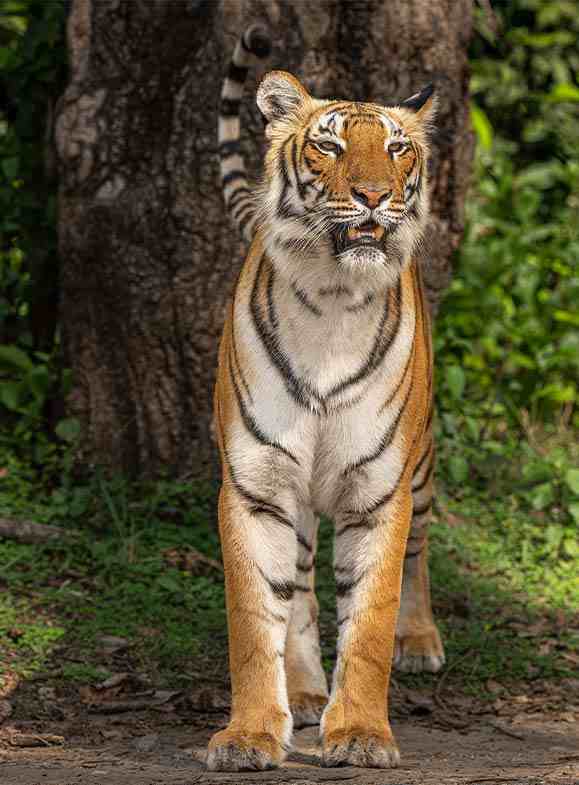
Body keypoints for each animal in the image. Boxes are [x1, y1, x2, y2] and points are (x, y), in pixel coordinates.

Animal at [208, 23, 444, 772]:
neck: (332, 298)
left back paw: (418, 641)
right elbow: (257, 620)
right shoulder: (254, 485)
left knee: (419, 549)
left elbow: (368, 622)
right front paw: (250, 735)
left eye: (396, 149)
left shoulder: (379, 488)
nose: (373, 195)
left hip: (421, 464)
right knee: (302, 589)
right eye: (331, 146)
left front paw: (363, 734)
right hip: (297, 493)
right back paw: (307, 690)